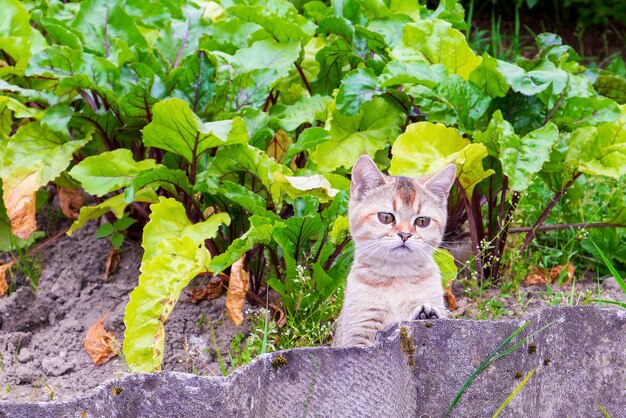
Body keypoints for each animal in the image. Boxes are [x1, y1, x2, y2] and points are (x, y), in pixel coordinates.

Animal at [332, 155, 454, 348]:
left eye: (422, 221)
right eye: (386, 217)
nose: (405, 234)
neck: (397, 279)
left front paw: (425, 314)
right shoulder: (358, 332)